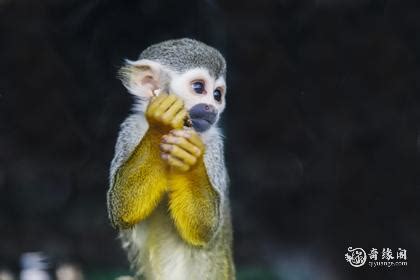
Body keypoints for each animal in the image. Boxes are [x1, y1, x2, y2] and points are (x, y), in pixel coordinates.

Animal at [106, 38, 235, 278]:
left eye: (217, 95)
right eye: (199, 88)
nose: (212, 108)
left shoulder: (214, 143)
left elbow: (205, 228)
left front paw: (190, 162)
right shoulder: (130, 127)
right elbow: (121, 207)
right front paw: (160, 124)